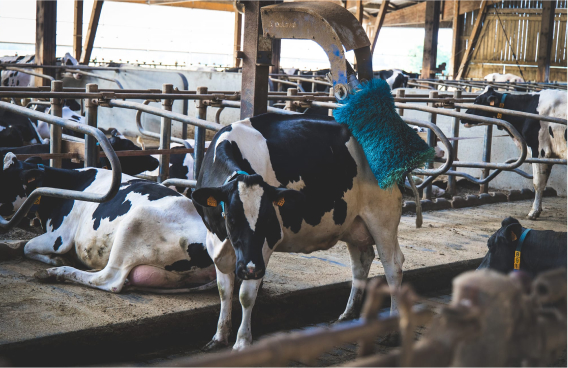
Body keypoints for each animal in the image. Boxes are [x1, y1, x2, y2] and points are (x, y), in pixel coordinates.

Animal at [0, 151, 215, 292]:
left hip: (134, 221)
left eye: (4, 182)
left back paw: (55, 272)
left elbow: (27, 246)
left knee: (108, 280)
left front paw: (57, 260)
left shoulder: (60, 238)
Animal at [193, 113, 406, 350]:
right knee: (361, 261)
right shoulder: (215, 241)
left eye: (269, 219)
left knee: (393, 266)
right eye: (231, 218)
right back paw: (348, 314)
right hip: (354, 222)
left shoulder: (265, 245)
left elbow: (246, 295)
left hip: (383, 216)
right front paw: (219, 336)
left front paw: (241, 343)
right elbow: (224, 290)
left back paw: (393, 332)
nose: (250, 269)